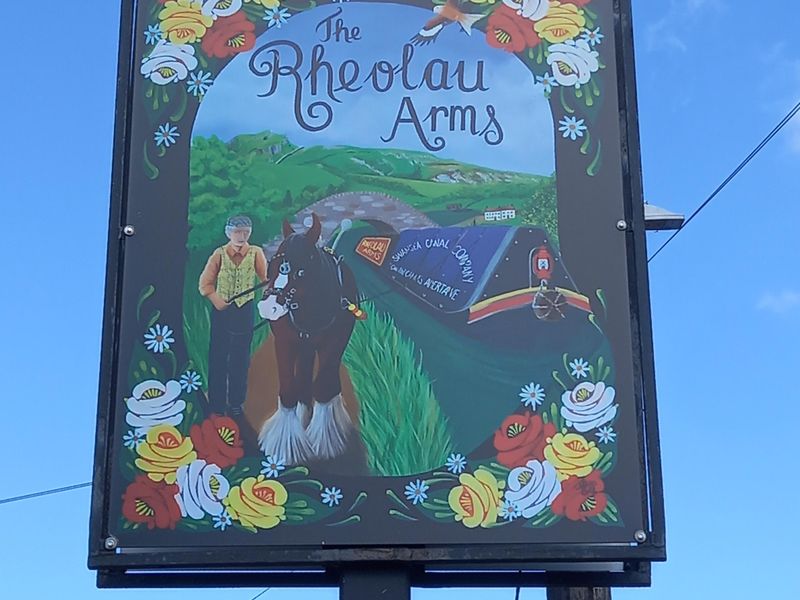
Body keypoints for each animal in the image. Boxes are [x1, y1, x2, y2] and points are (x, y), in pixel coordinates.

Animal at [256, 214, 360, 464]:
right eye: (272, 266)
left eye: (301, 272)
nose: (269, 307)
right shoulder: (284, 342)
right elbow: (288, 389)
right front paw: (286, 443)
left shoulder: (334, 341)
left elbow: (323, 387)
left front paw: (326, 441)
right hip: (304, 346)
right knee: (302, 378)